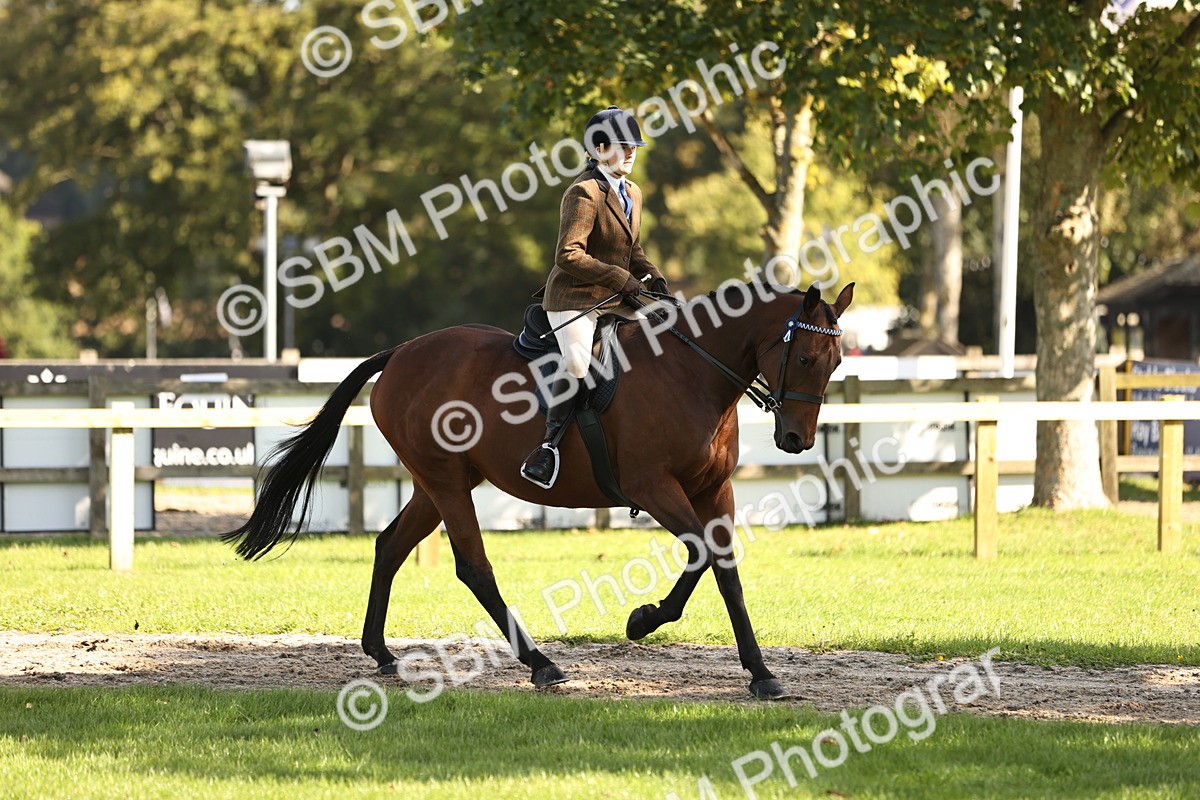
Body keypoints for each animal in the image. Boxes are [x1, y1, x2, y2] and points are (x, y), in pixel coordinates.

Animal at [222, 280, 853, 699]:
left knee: (390, 545)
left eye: (836, 360)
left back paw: (380, 652)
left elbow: (724, 569)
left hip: (438, 483)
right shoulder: (653, 487)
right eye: (804, 355)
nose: (796, 438)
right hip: (445, 481)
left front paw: (762, 673)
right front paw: (643, 619)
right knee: (473, 568)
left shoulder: (713, 491)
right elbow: (700, 554)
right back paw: (542, 664)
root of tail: (402, 351)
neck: (690, 372)